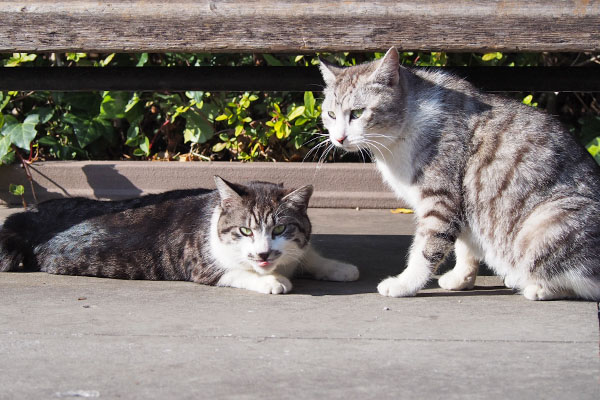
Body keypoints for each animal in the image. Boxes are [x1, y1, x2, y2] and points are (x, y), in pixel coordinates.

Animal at [0, 176, 356, 294]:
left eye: (280, 228)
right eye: (245, 230)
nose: (264, 254)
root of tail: (28, 216)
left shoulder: (296, 248)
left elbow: (307, 254)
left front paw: (339, 268)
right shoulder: (202, 266)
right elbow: (236, 271)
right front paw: (271, 281)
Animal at [318, 47, 600, 300]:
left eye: (357, 113)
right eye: (331, 114)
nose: (339, 138)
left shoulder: (440, 199)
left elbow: (426, 248)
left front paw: (404, 284)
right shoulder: (465, 202)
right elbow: (465, 246)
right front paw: (461, 277)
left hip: (543, 224)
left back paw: (538, 287)